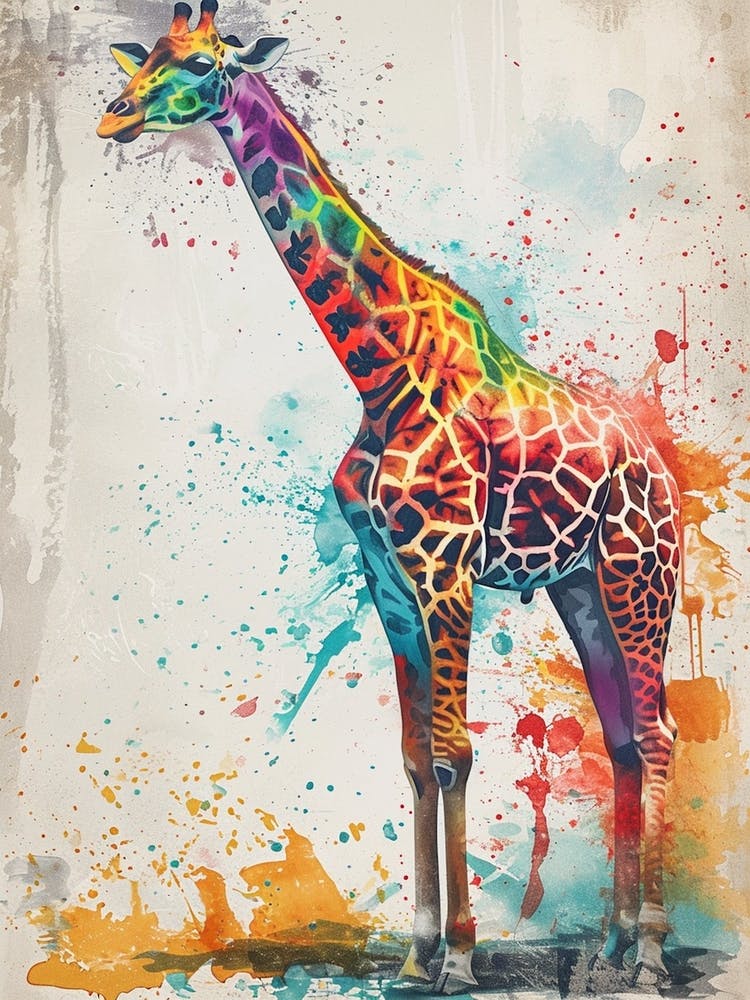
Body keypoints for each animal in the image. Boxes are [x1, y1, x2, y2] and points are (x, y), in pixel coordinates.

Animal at [97, 2, 680, 991]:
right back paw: (611, 940)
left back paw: (647, 955)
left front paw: (462, 957)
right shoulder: (389, 580)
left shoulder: (443, 567)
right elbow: (413, 758)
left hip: (641, 574)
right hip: (579, 583)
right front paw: (415, 956)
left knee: (661, 730)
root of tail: (663, 471)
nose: (115, 114)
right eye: (148, 59)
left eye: (207, 62)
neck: (378, 373)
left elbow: (454, 750)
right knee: (624, 739)